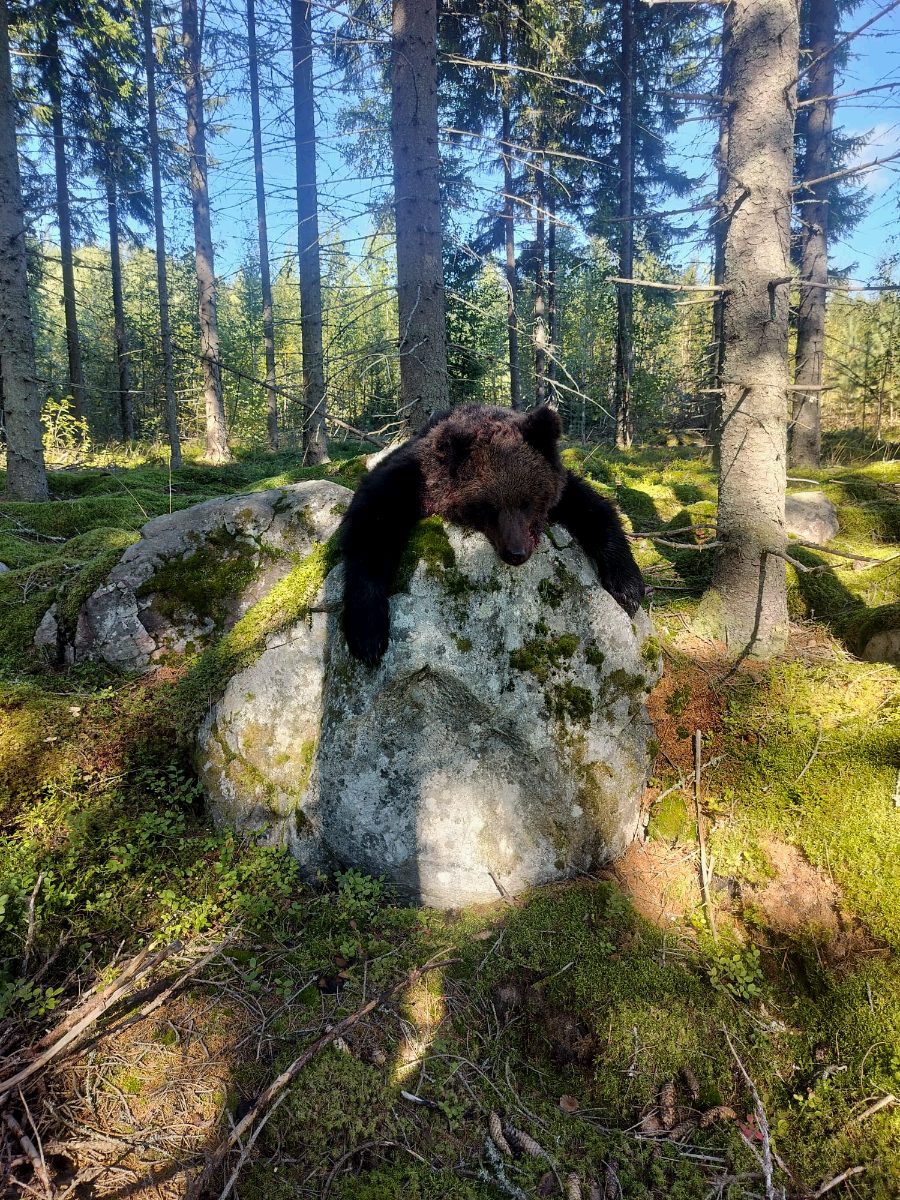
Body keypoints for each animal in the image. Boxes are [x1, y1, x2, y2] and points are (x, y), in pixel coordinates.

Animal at [339, 404, 645, 665]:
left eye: (526, 502)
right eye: (489, 507)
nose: (516, 553)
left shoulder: (561, 487)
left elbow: (594, 508)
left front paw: (629, 588)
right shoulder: (410, 478)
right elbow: (371, 527)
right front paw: (368, 634)